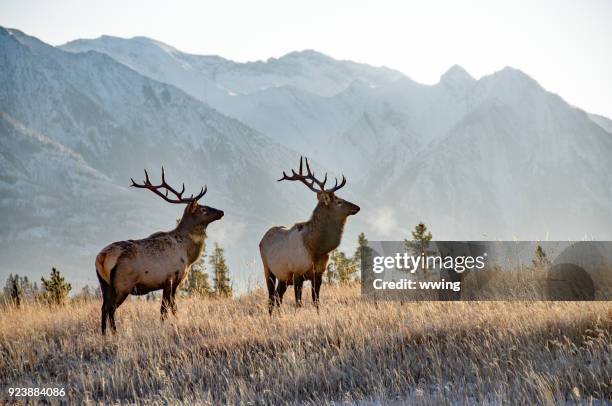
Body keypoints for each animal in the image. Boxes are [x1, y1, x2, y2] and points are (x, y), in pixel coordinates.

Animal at [97, 168, 225, 334]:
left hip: (104, 285)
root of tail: (102, 257)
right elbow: (169, 308)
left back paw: (104, 334)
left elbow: (166, 308)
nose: (221, 212)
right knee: (111, 308)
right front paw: (172, 324)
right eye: (203, 209)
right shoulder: (171, 278)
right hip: (123, 284)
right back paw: (115, 333)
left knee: (103, 308)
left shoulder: (168, 282)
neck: (188, 255)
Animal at [258, 156, 358, 314]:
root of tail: (262, 239)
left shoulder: (318, 274)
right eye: (339, 201)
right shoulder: (297, 274)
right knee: (271, 299)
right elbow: (298, 303)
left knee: (278, 297)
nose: (357, 207)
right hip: (268, 270)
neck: (316, 249)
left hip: (283, 278)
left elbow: (316, 301)